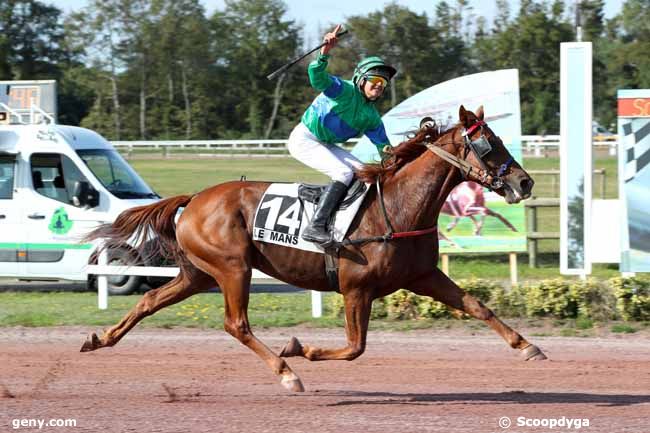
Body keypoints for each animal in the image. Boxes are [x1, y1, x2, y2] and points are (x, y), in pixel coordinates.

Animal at [81, 105, 548, 392]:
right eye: (489, 144)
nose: (525, 182)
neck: (398, 207)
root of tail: (194, 198)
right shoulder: (356, 288)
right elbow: (355, 347)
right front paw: (299, 349)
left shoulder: (423, 275)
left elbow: (476, 305)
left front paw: (528, 346)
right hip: (233, 268)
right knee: (237, 324)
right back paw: (286, 372)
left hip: (198, 272)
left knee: (151, 300)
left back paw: (100, 338)